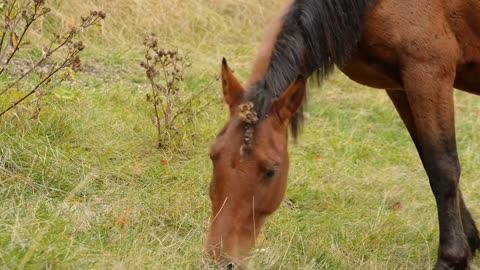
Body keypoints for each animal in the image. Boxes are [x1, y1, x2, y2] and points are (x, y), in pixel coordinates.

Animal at [204, 1, 480, 268]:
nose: (220, 258)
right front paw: (470, 242)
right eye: (213, 156)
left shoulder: (428, 74)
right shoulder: (400, 85)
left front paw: (452, 257)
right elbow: (428, 160)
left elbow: (442, 167)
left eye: (271, 171)